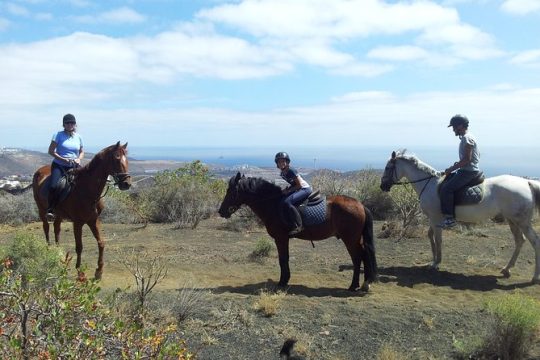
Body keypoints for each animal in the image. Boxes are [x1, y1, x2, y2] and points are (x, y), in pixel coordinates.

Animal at [33, 142, 132, 280]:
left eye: (126, 159)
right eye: (116, 158)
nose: (126, 184)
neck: (87, 190)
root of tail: (40, 171)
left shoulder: (93, 220)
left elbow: (101, 242)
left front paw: (99, 271)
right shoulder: (78, 223)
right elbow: (79, 247)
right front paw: (80, 273)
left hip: (59, 215)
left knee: (57, 229)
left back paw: (58, 253)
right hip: (42, 211)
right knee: (46, 228)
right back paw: (49, 250)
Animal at [217, 172, 378, 292]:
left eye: (231, 191)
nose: (221, 211)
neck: (273, 204)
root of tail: (360, 205)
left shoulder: (281, 238)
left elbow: (282, 259)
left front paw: (282, 282)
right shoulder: (283, 238)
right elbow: (285, 259)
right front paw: (285, 280)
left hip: (350, 239)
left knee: (358, 258)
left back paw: (354, 285)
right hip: (356, 239)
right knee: (364, 256)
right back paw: (364, 284)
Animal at [380, 150, 540, 284]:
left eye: (388, 168)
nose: (383, 186)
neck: (429, 184)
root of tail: (527, 182)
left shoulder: (435, 219)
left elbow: (438, 240)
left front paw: (436, 263)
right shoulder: (433, 220)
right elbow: (430, 236)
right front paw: (433, 261)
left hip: (522, 222)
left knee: (534, 242)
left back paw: (534, 277)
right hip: (512, 220)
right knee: (519, 241)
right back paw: (507, 269)